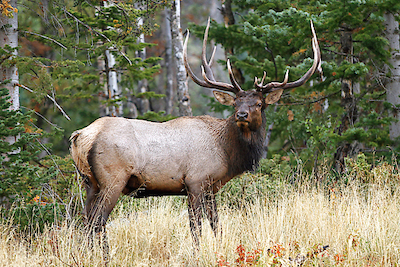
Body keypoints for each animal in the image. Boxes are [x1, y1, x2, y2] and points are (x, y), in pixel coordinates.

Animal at [70, 18, 322, 249]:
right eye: (236, 103)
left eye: (259, 104)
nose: (241, 115)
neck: (227, 153)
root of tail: (81, 136)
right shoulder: (195, 181)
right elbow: (196, 227)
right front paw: (197, 252)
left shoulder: (211, 188)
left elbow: (216, 224)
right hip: (113, 179)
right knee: (98, 221)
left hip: (89, 181)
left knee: (85, 220)